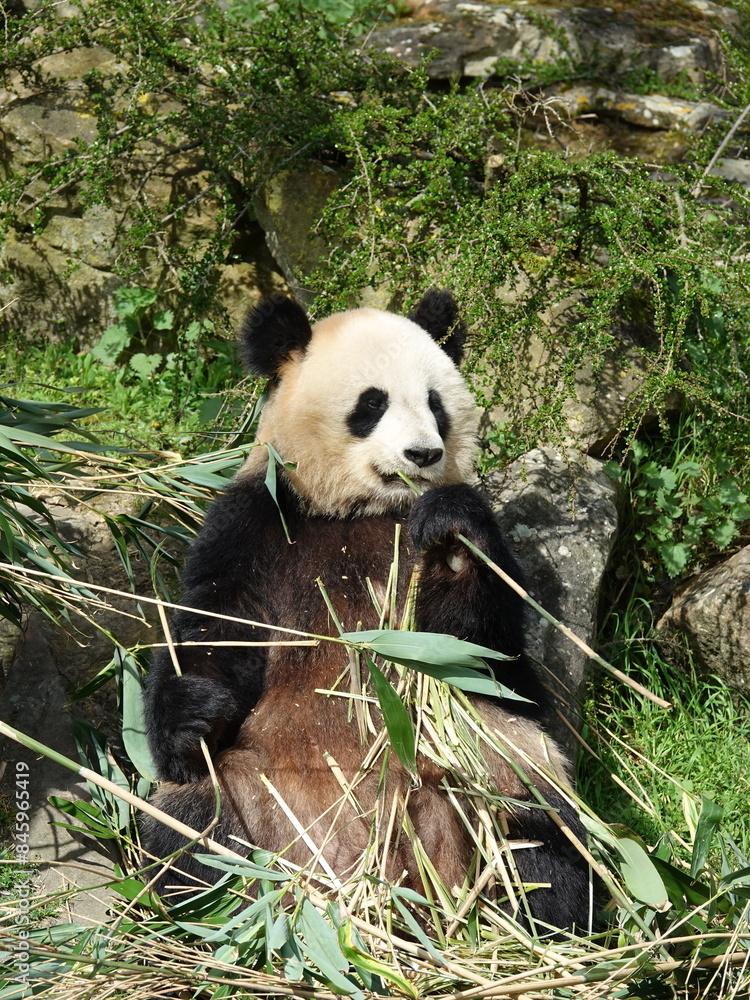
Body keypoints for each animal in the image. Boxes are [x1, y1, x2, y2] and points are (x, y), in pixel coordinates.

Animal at [143, 290, 591, 931]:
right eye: (371, 404)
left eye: (434, 403)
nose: (423, 454)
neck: (362, 510)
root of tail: (378, 885)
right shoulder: (256, 523)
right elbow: (217, 626)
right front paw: (192, 712)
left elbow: (485, 649)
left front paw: (451, 539)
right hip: (253, 800)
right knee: (190, 829)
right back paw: (218, 912)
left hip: (489, 767)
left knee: (541, 831)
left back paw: (541, 917)